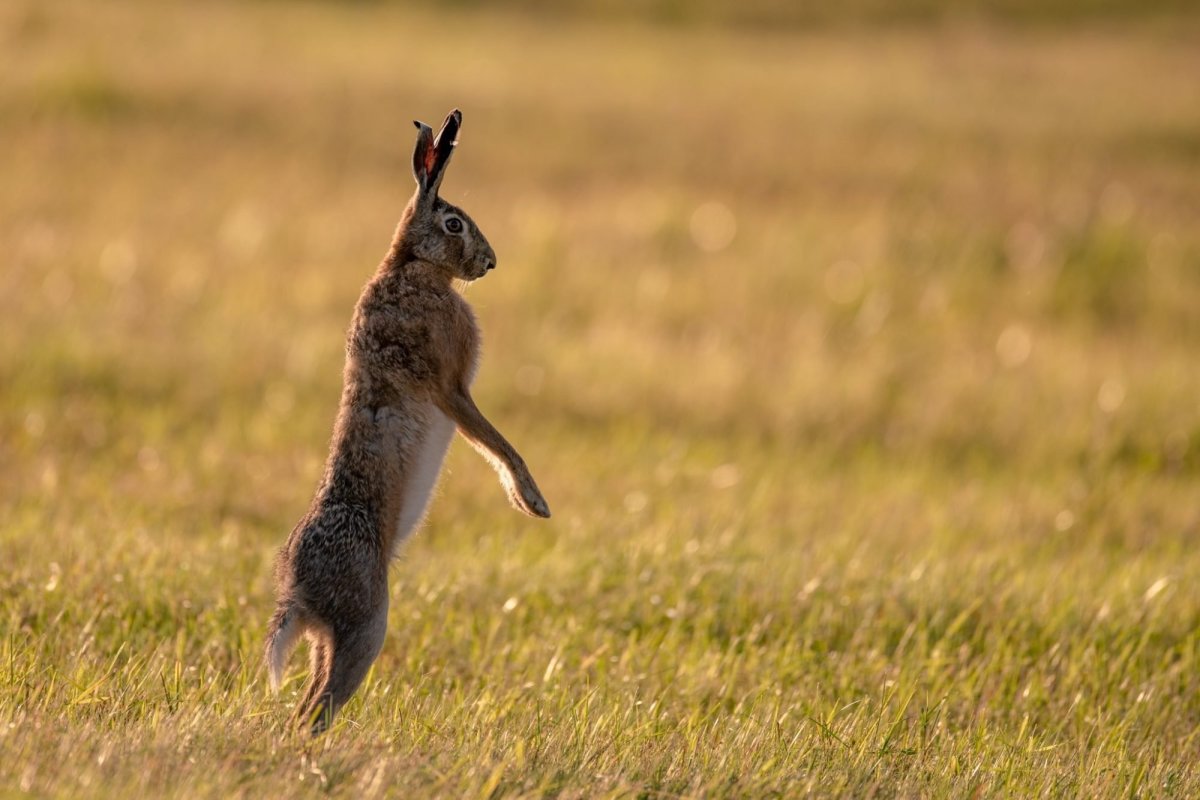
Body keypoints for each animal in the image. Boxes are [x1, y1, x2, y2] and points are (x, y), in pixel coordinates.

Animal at [264, 109, 550, 736]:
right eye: (453, 223)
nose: (491, 264)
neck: (411, 265)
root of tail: (296, 590)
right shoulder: (450, 386)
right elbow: (494, 442)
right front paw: (533, 501)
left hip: (333, 636)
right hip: (366, 624)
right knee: (316, 709)